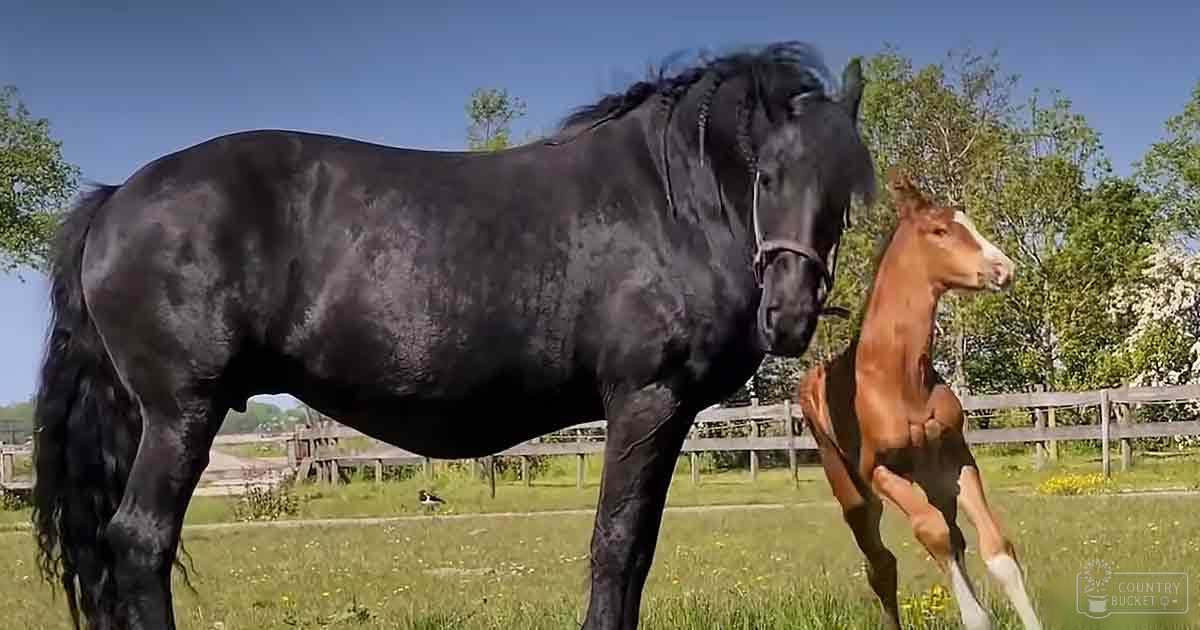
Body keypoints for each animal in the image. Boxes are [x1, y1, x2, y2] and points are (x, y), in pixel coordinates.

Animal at [32, 42, 876, 630]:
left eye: (846, 187)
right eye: (767, 175)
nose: (789, 314)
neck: (671, 198)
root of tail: (117, 198)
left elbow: (637, 553)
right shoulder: (647, 400)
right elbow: (616, 544)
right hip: (182, 412)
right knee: (140, 541)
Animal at [795, 169, 1041, 630]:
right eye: (940, 231)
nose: (1004, 269)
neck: (899, 376)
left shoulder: (955, 456)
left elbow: (996, 548)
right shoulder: (880, 470)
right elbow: (933, 534)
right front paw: (977, 617)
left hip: (932, 478)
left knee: (954, 539)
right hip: (855, 495)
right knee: (881, 564)